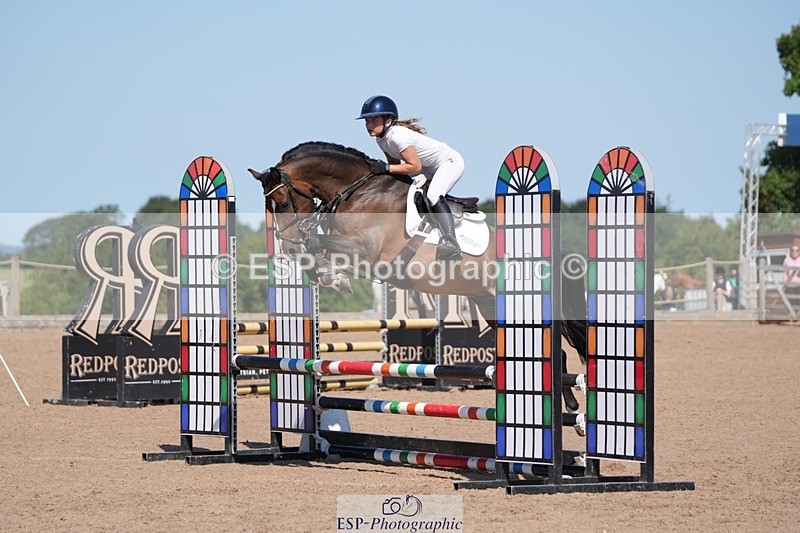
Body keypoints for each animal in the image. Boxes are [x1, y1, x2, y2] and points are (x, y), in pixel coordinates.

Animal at [248, 141, 587, 408]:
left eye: (281, 203)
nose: (286, 244)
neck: (357, 191)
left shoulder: (365, 249)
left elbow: (317, 242)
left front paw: (336, 278)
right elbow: (315, 250)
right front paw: (330, 276)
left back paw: (570, 408)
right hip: (491, 306)